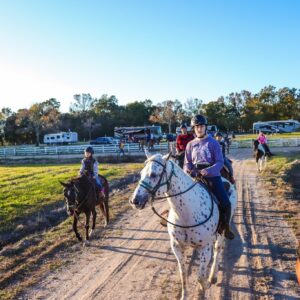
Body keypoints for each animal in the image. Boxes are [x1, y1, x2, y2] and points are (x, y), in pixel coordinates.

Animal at [130, 154, 238, 298]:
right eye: (141, 173)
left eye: (153, 174)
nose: (134, 201)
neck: (186, 213)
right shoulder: (176, 246)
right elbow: (183, 274)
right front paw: (185, 295)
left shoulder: (205, 246)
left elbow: (200, 276)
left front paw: (205, 286)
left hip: (221, 232)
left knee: (217, 250)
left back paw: (213, 276)